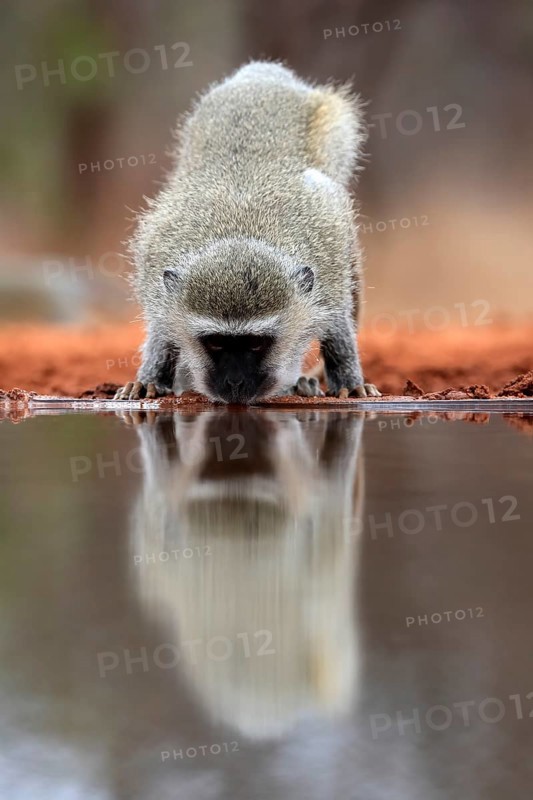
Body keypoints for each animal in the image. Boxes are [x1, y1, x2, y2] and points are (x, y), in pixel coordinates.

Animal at [115, 61, 380, 403]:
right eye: (215, 342)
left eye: (255, 342)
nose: (235, 384)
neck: (240, 232)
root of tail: (263, 74)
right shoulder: (156, 271)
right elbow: (162, 329)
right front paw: (150, 378)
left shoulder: (329, 265)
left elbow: (336, 324)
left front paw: (348, 379)